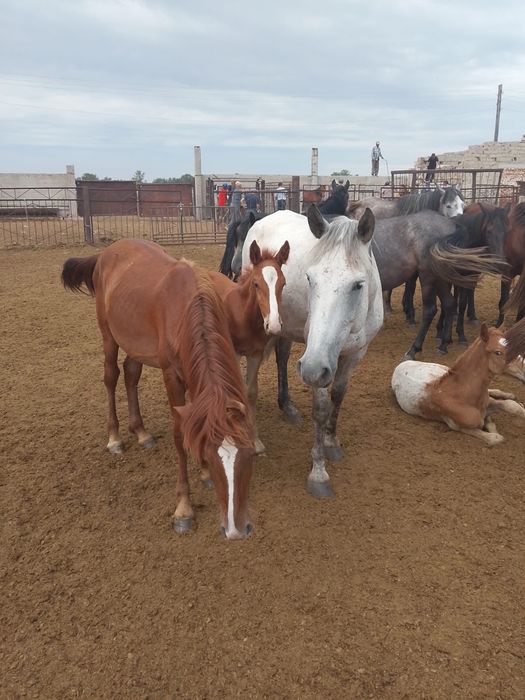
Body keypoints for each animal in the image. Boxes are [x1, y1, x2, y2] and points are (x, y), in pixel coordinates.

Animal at [61, 239, 255, 540]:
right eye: (214, 458)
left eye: (249, 456)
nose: (236, 530)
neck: (187, 309)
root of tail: (106, 252)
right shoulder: (172, 376)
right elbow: (180, 434)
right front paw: (184, 507)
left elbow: (196, 423)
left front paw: (203, 475)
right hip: (108, 335)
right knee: (111, 377)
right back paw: (115, 438)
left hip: (136, 345)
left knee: (131, 374)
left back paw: (141, 433)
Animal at [210, 240, 290, 455]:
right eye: (256, 283)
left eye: (283, 283)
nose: (274, 325)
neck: (243, 316)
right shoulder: (235, 352)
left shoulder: (256, 354)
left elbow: (251, 391)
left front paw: (256, 441)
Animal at [240, 205, 383, 498]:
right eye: (310, 278)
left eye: (358, 284)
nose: (311, 369)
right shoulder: (317, 360)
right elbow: (321, 407)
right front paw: (318, 472)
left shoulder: (354, 354)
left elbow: (338, 395)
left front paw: (331, 442)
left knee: (283, 357)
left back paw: (288, 407)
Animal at [391, 323, 525, 445]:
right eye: (498, 352)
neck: (460, 394)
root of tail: (402, 364)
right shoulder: (456, 426)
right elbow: (495, 438)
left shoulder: (488, 402)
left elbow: (511, 405)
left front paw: (517, 404)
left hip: (443, 368)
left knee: (493, 391)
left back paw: (510, 395)